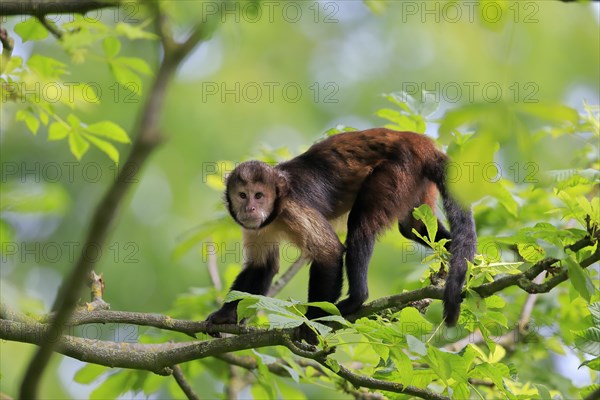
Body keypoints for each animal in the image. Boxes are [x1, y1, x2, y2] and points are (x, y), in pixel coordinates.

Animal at [206, 128, 478, 340]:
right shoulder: (256, 225)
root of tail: (413, 139)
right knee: (413, 227)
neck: (277, 209)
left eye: (259, 196)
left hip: (399, 169)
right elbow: (263, 266)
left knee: (361, 225)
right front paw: (225, 316)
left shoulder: (293, 208)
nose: (250, 208)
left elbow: (330, 252)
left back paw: (356, 299)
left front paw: (313, 321)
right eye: (243, 195)